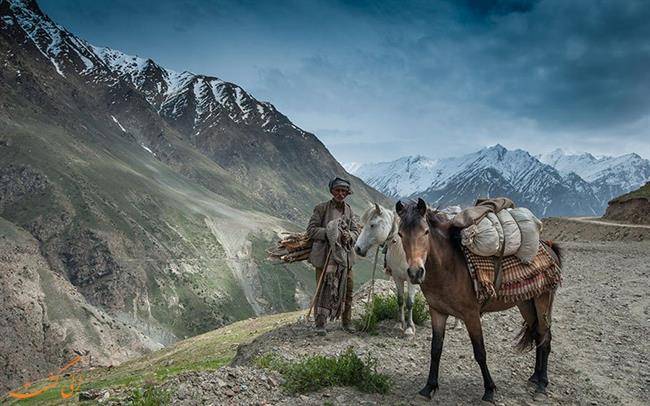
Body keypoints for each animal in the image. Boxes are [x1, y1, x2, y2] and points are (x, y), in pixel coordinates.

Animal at [352, 205, 418, 334]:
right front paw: (399, 324)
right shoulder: (397, 277)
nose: (357, 248)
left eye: (372, 225)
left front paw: (409, 327)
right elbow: (400, 300)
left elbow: (410, 302)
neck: (403, 251)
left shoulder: (411, 279)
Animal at [392, 198, 560, 402]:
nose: (415, 273)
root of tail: (548, 246)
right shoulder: (437, 312)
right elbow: (435, 349)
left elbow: (480, 352)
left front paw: (489, 390)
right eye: (400, 234)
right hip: (526, 303)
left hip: (543, 300)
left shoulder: (471, 315)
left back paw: (542, 384)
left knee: (545, 336)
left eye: (425, 231)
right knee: (537, 334)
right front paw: (429, 387)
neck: (449, 267)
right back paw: (535, 377)